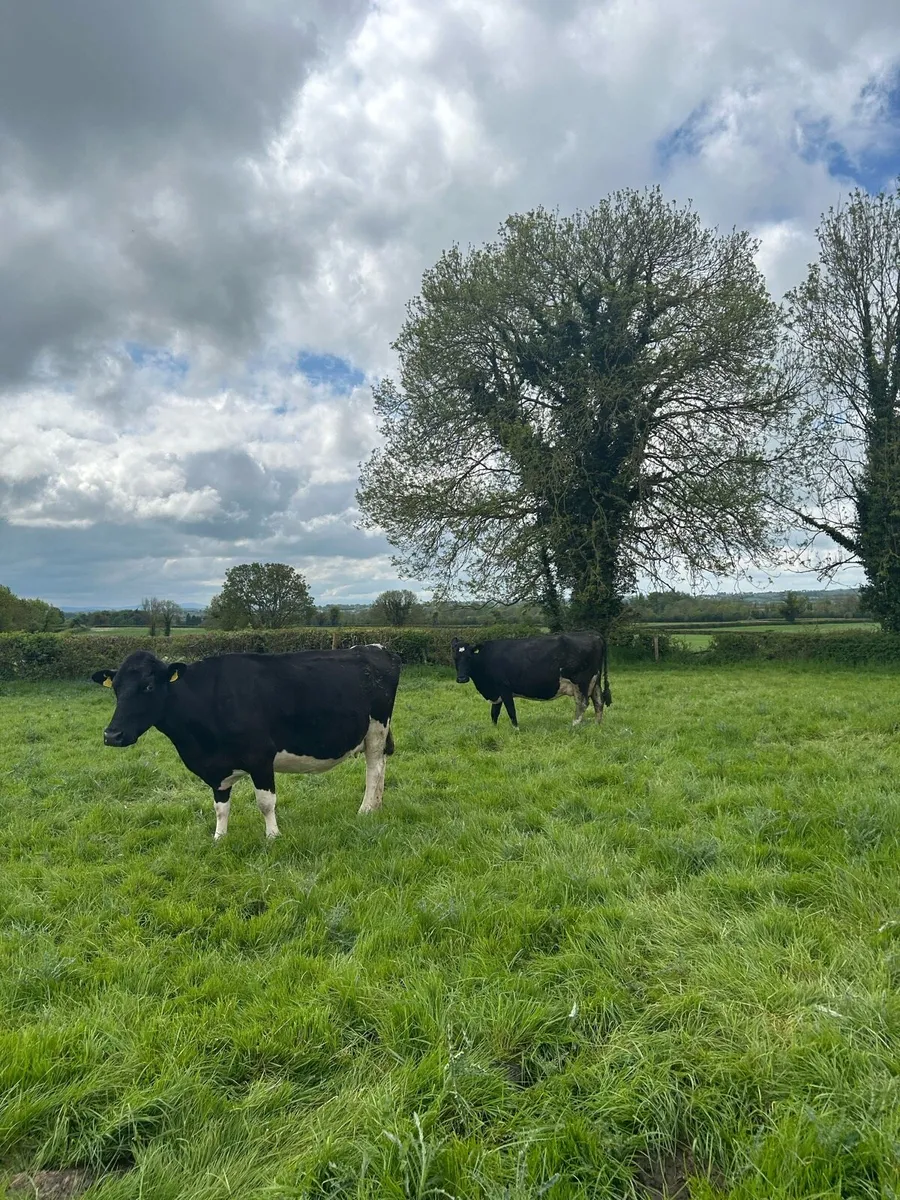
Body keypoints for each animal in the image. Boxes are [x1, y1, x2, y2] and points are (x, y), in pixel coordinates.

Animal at [91, 645, 400, 840]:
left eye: (148, 686)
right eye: (116, 688)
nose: (112, 735)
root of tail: (374, 648)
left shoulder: (260, 758)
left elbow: (265, 802)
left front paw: (273, 836)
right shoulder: (216, 768)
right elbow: (220, 806)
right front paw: (219, 837)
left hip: (376, 728)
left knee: (374, 768)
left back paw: (366, 809)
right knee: (383, 764)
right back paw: (378, 805)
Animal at [451, 632, 611, 729]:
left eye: (469, 657)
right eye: (455, 658)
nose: (462, 678)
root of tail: (594, 635)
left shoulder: (504, 688)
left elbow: (511, 711)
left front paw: (516, 729)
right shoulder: (496, 692)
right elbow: (494, 713)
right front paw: (494, 729)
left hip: (580, 681)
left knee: (582, 703)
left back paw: (574, 725)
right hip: (594, 681)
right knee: (598, 702)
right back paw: (597, 725)